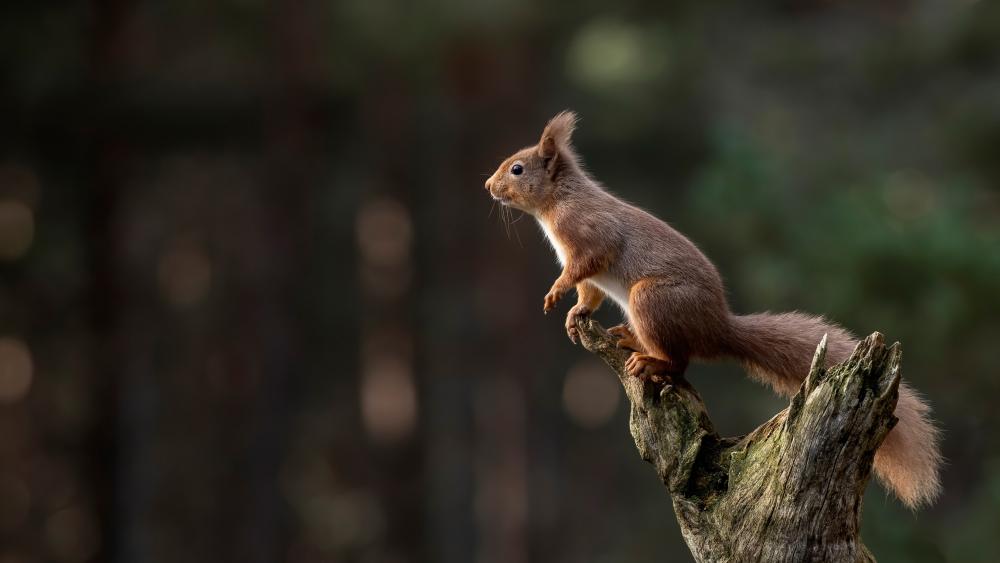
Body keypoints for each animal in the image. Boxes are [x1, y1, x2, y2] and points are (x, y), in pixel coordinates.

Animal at [484, 110, 942, 509]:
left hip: (650, 299)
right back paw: (627, 337)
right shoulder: (589, 272)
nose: (488, 185)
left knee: (680, 362)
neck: (558, 201)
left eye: (518, 169)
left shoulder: (591, 238)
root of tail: (718, 328)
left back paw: (651, 362)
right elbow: (589, 294)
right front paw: (575, 314)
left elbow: (583, 268)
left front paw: (554, 294)